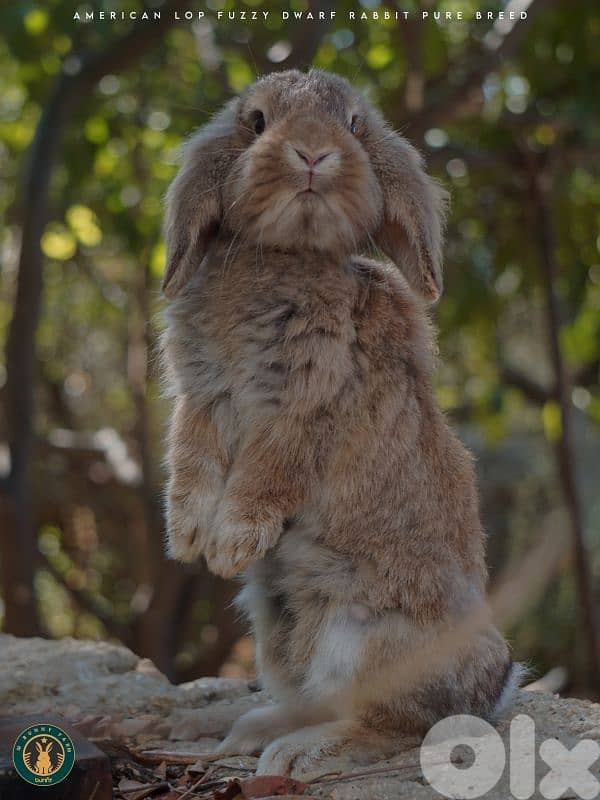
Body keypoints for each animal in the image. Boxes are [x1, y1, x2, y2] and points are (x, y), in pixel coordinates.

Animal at [161, 68, 520, 777]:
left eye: (354, 124)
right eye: (256, 121)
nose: (311, 153)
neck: (285, 253)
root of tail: (493, 685)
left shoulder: (304, 409)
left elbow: (267, 473)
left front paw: (228, 546)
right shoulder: (201, 397)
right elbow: (191, 458)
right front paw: (187, 539)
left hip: (361, 638)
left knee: (395, 726)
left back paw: (296, 755)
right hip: (274, 627)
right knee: (321, 699)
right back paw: (254, 733)